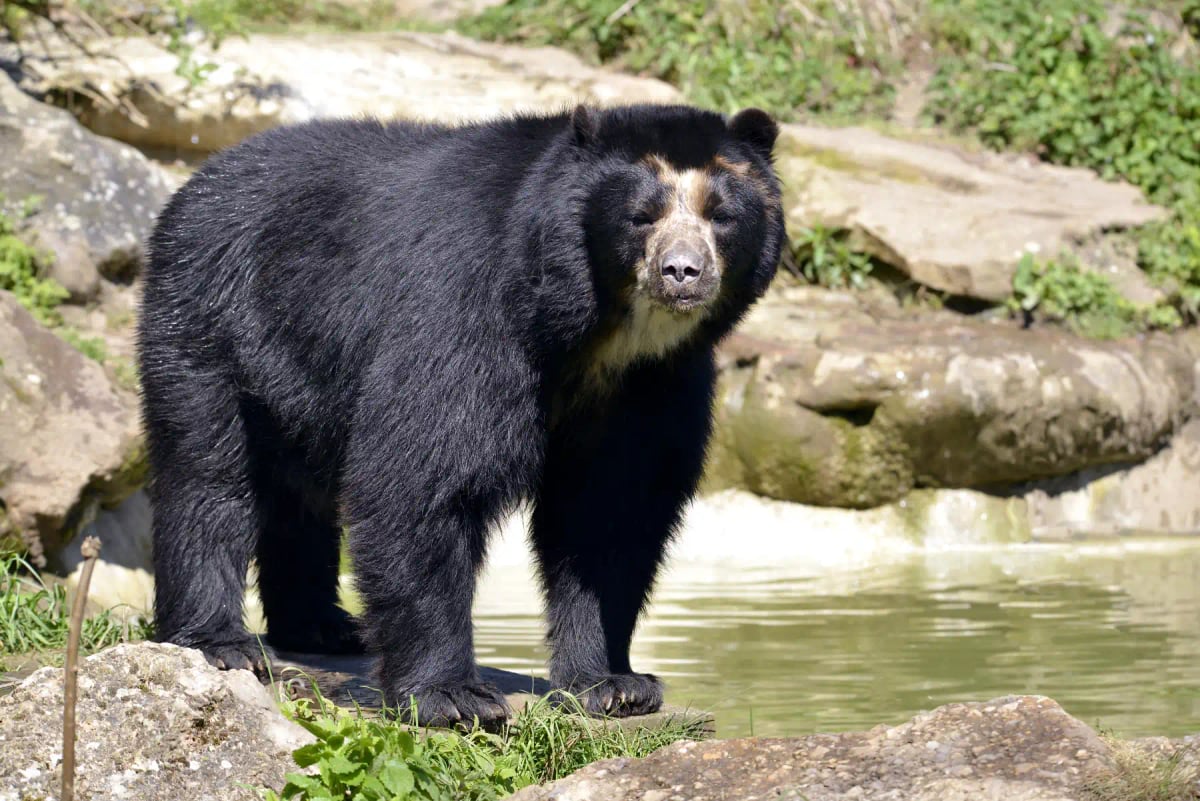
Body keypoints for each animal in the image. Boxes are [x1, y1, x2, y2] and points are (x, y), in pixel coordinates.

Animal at [139, 103, 785, 729]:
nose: (683, 272)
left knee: (300, 493)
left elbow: (612, 513)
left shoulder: (654, 383)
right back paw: (222, 642)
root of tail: (201, 178)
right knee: (208, 475)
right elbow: (424, 479)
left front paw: (615, 685)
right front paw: (453, 697)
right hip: (212, 318)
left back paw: (325, 627)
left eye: (721, 215)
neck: (599, 334)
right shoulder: (468, 312)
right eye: (640, 216)